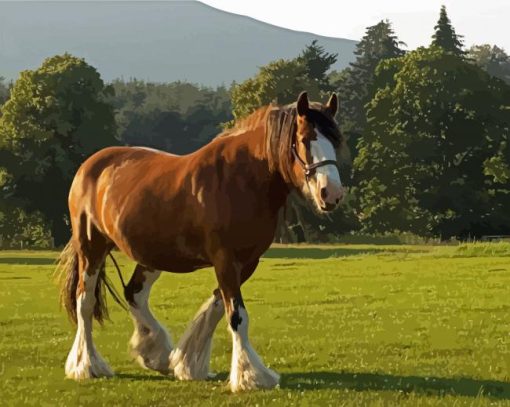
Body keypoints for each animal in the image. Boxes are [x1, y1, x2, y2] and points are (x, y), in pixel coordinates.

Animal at [58, 91, 346, 392]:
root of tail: (89, 165)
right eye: (304, 139)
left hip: (152, 255)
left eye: (335, 140)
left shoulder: (245, 263)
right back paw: (87, 365)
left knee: (134, 293)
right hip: (92, 249)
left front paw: (189, 362)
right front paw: (250, 376)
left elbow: (219, 306)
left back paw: (155, 352)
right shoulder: (225, 260)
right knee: (85, 301)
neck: (242, 179)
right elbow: (236, 316)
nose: (331, 193)